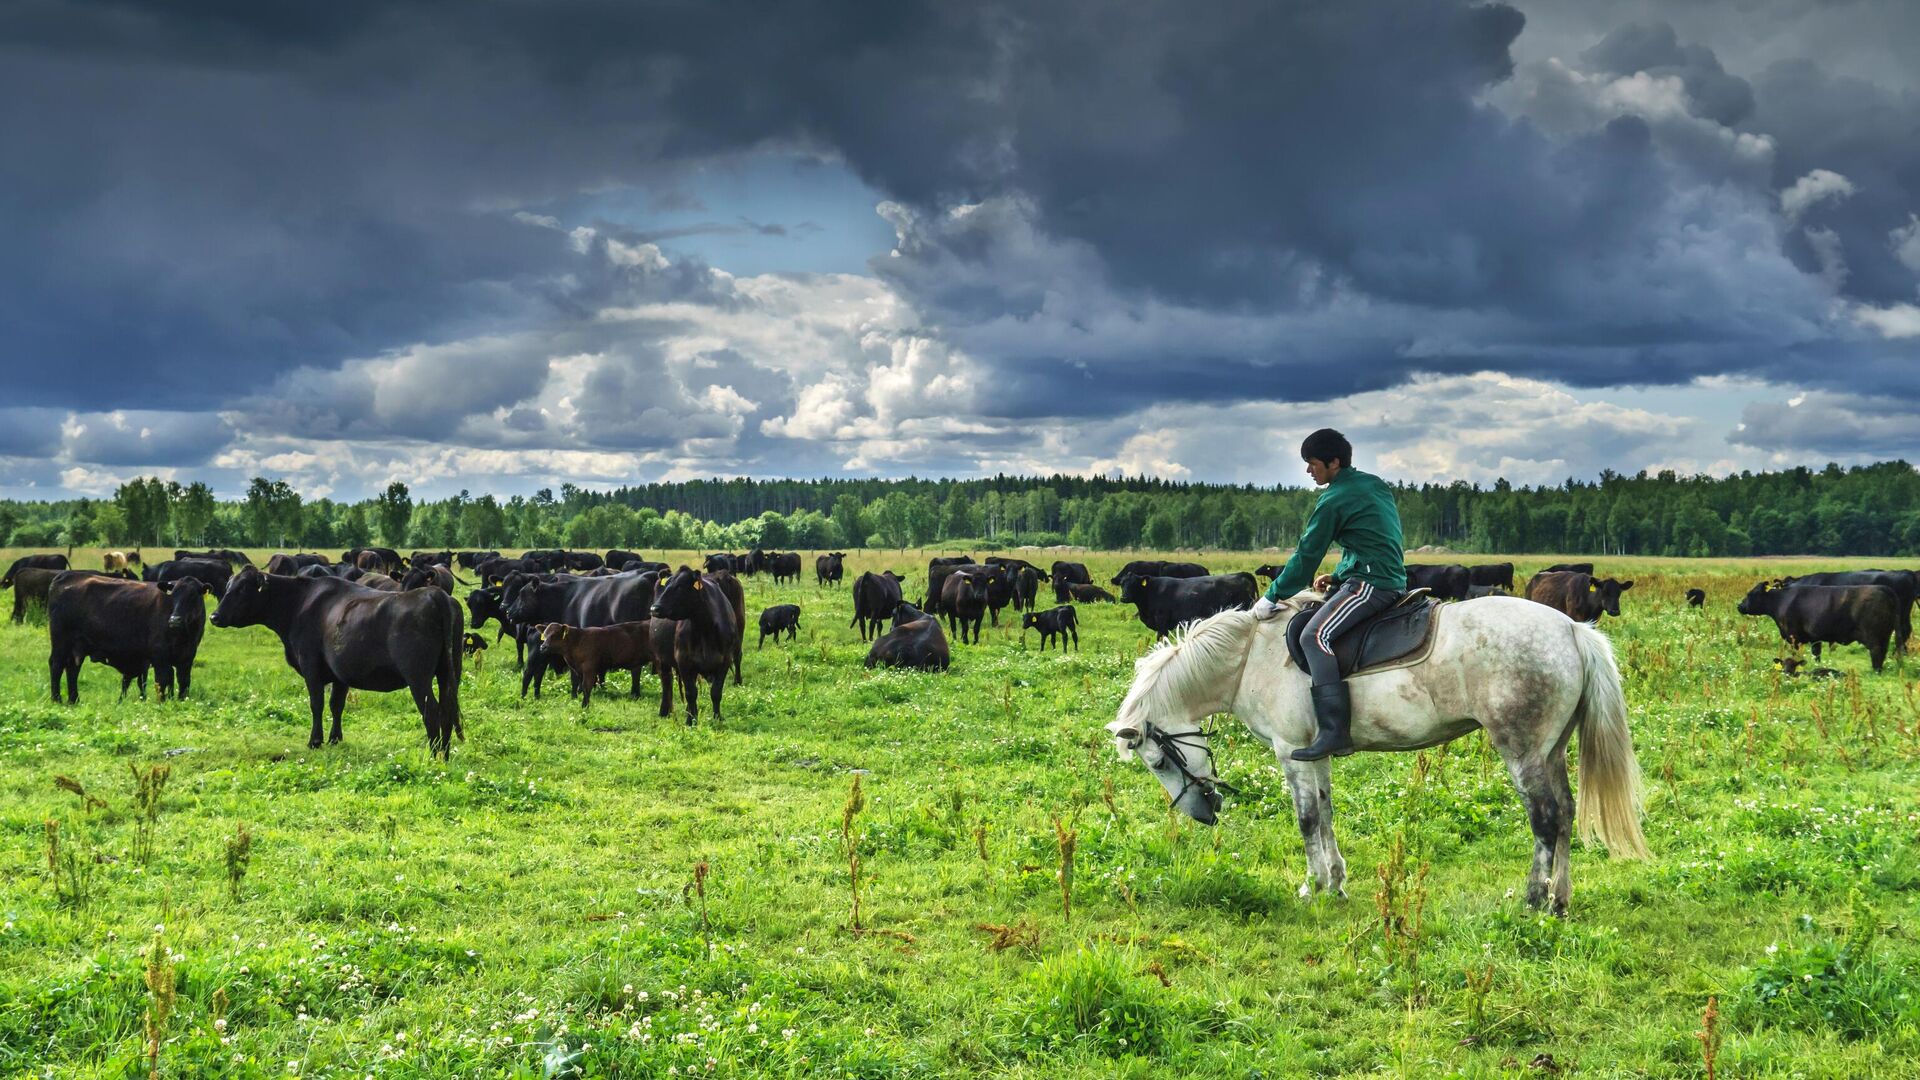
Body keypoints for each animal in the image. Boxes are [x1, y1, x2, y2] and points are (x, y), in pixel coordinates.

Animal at [48, 572, 210, 699]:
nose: (175, 620)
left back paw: (74, 700)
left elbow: (184, 683)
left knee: (72, 669)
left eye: (193, 596)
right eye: (173, 595)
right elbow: (162, 682)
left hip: (76, 647)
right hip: (61, 642)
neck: (184, 636)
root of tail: (65, 575)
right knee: (56, 665)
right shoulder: (160, 657)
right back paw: (57, 699)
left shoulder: (187, 658)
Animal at [211, 568, 464, 753]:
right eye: (228, 587)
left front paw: (315, 741)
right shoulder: (341, 673)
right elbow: (336, 705)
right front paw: (335, 739)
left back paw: (434, 753)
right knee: (447, 710)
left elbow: (317, 704)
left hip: (418, 677)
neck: (298, 604)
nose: (214, 616)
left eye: (242, 589)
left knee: (432, 711)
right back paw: (445, 754)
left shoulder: (311, 667)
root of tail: (434, 594)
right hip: (449, 673)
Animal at [1113, 591, 1651, 910]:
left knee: (1544, 818)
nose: (1205, 813)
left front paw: (1313, 887)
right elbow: (1326, 815)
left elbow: (1307, 820)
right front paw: (1336, 882)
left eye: (1158, 760)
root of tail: (1572, 630)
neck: (1250, 659)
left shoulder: (1291, 753)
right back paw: (1560, 900)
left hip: (1522, 752)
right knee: (1565, 814)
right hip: (1551, 750)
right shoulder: (1315, 754)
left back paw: (1535, 898)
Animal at [1743, 580, 1904, 672]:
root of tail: (1884, 588)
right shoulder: (1815, 638)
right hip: (1885, 634)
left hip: (1874, 636)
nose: (1740, 606)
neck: (1782, 600)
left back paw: (1875, 670)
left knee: (1877, 652)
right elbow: (1816, 654)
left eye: (1750, 594)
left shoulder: (1794, 637)